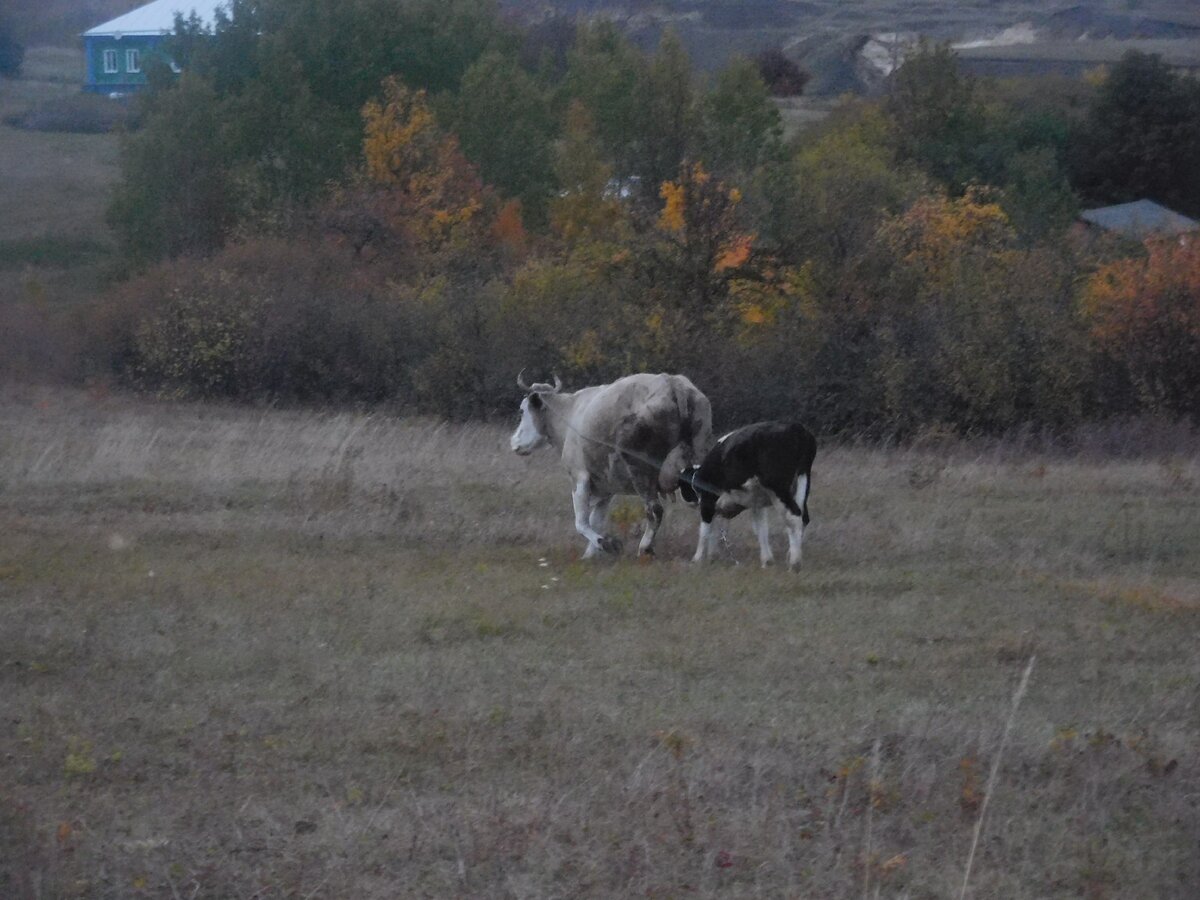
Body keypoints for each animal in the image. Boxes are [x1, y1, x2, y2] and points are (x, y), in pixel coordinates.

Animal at [676, 422, 816, 571]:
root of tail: (795, 427)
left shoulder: (708, 502)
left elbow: (704, 531)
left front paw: (697, 559)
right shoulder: (756, 502)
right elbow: (760, 529)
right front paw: (766, 561)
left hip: (779, 489)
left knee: (793, 517)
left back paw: (794, 563)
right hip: (802, 482)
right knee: (803, 518)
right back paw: (791, 555)